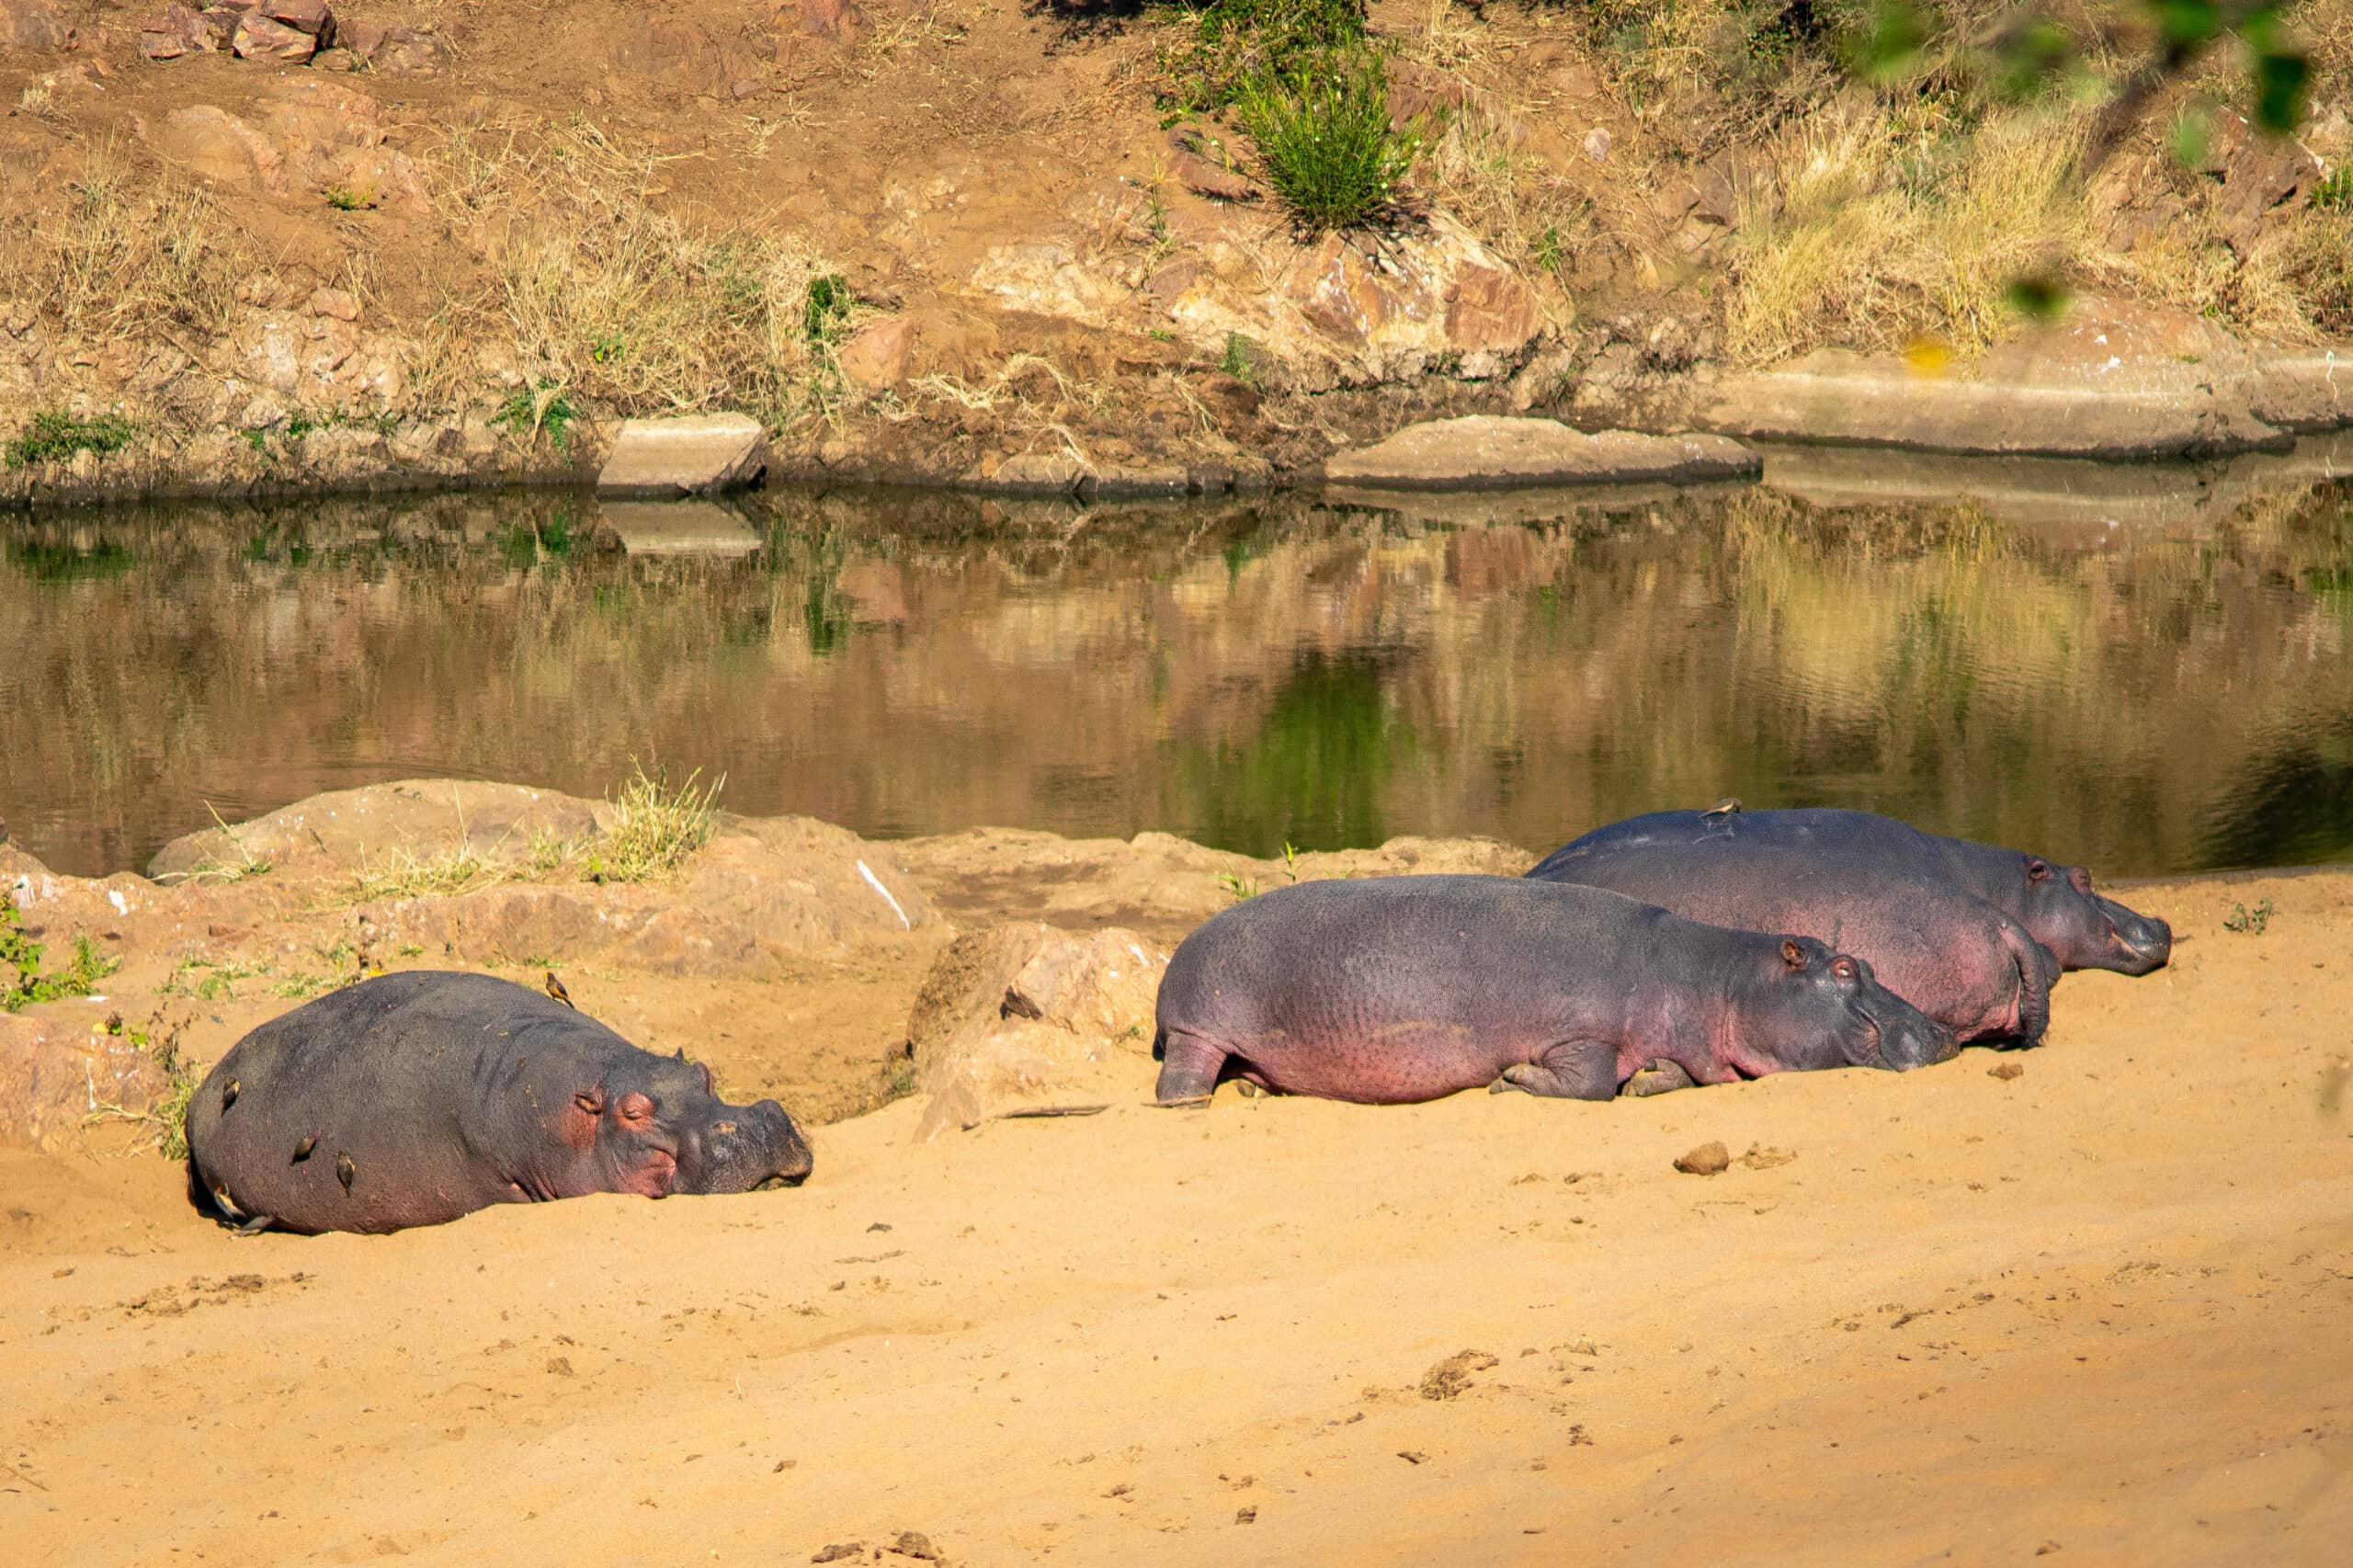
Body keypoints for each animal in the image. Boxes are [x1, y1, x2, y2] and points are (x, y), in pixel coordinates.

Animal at [1151, 875, 1955, 1106]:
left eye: (1869, 963)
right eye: (1844, 969)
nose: (1943, 1034)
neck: (1720, 978)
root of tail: (1185, 943)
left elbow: (1668, 1072)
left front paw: (1649, 1081)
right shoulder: (1578, 1030)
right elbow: (1591, 1080)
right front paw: (1512, 1079)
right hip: (1198, 1026)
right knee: (1182, 1074)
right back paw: (1194, 1102)